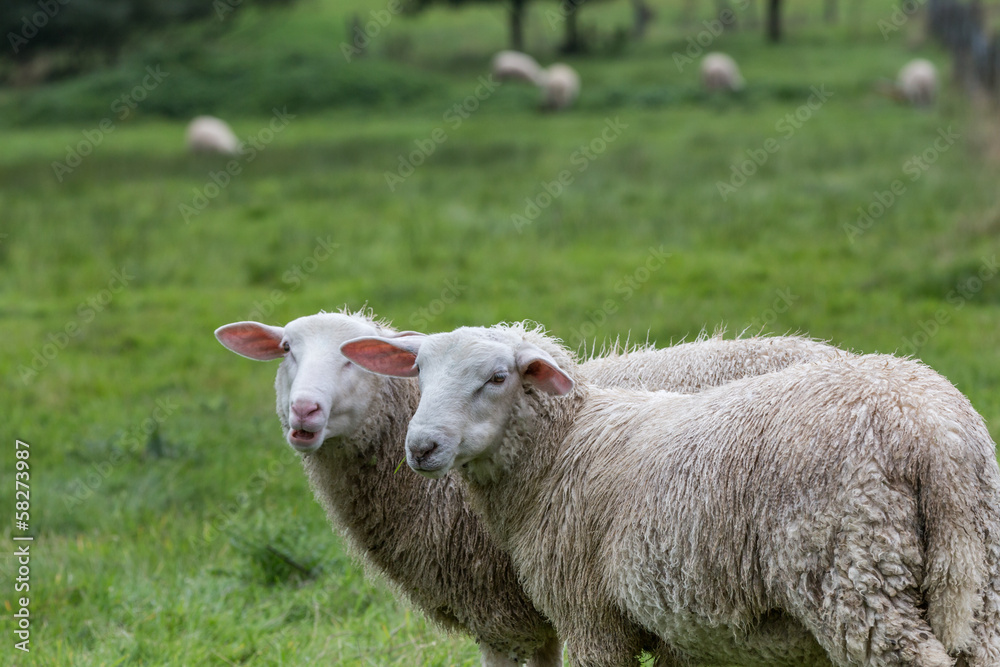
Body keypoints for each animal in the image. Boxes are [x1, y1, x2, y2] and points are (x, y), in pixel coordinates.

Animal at [342, 324, 1000, 667]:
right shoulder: (681, 636)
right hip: (976, 581)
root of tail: (934, 436)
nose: (421, 446)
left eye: (497, 377)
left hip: (857, 574)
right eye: (419, 374)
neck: (565, 444)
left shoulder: (592, 619)